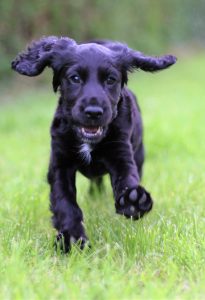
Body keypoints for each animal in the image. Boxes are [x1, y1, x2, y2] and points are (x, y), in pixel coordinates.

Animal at [12, 36, 177, 252]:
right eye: (74, 78)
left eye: (111, 79)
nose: (93, 112)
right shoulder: (60, 163)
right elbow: (65, 203)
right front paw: (72, 239)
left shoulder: (121, 153)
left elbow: (126, 178)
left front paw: (133, 200)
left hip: (139, 153)